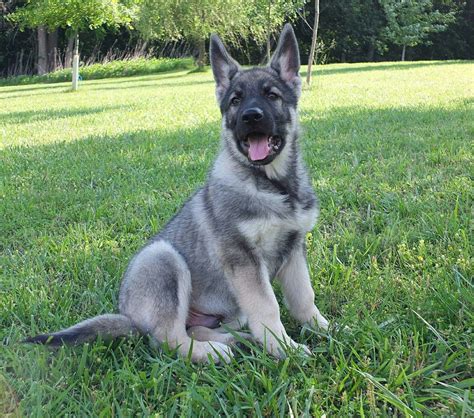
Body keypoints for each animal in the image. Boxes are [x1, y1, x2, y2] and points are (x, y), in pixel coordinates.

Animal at [25, 23, 330, 362]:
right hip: (163, 259)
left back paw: (234, 340)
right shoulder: (245, 261)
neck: (274, 186)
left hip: (225, 309)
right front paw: (284, 348)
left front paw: (325, 329)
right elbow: (267, 307)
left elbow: (304, 297)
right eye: (235, 101)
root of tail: (129, 317)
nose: (251, 116)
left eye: (272, 95)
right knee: (168, 340)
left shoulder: (294, 250)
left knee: (193, 328)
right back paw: (213, 352)